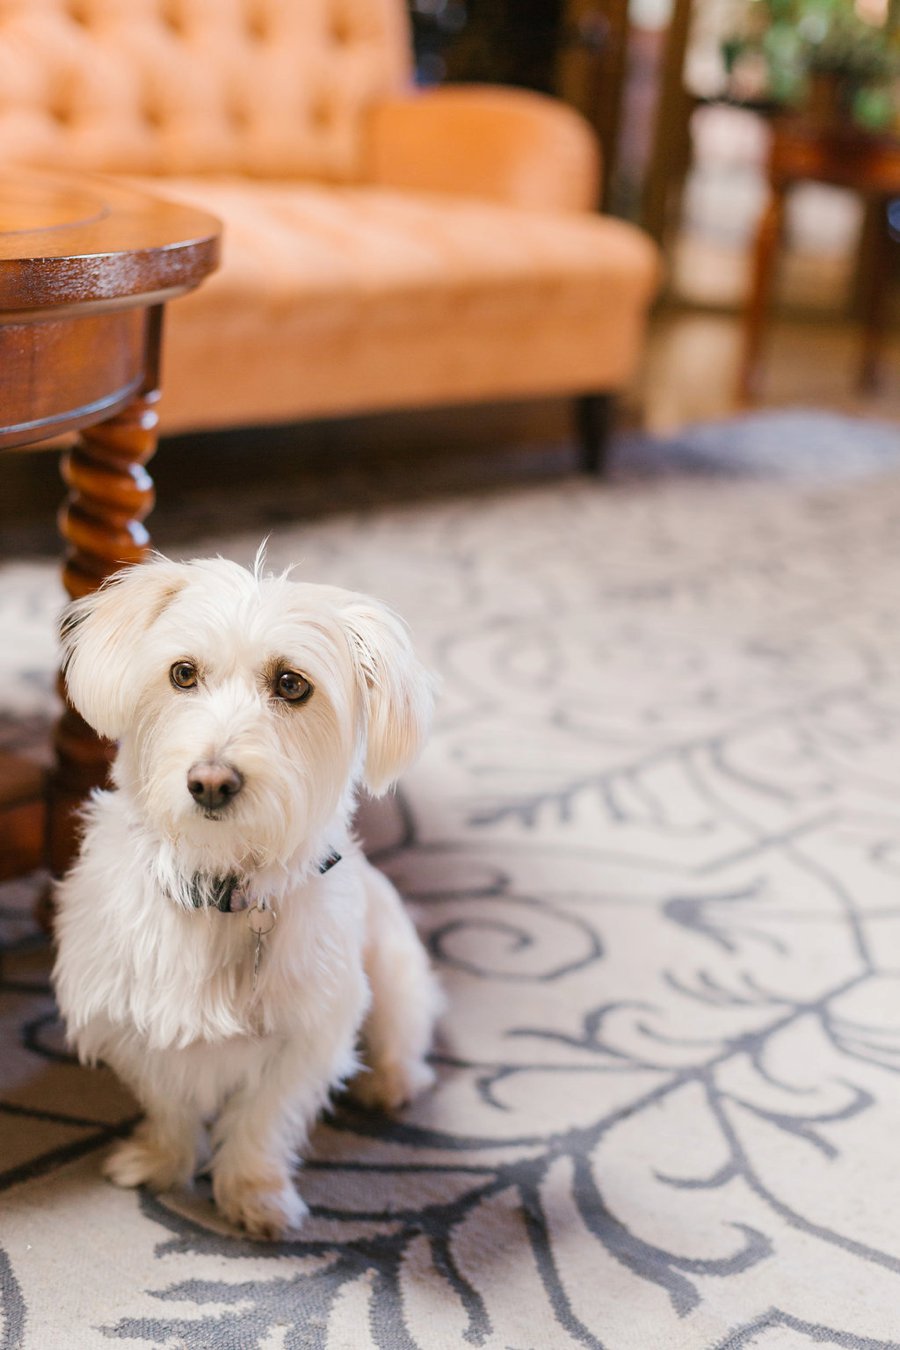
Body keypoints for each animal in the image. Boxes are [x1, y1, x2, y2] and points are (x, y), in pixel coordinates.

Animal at [50, 548, 442, 1236]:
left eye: (292, 684)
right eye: (182, 674)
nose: (210, 781)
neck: (219, 882)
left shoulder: (307, 1034)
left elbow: (263, 1118)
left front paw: (254, 1194)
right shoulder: (129, 1021)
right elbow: (169, 1103)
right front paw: (160, 1161)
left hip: (395, 973)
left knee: (404, 1035)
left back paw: (391, 1082)